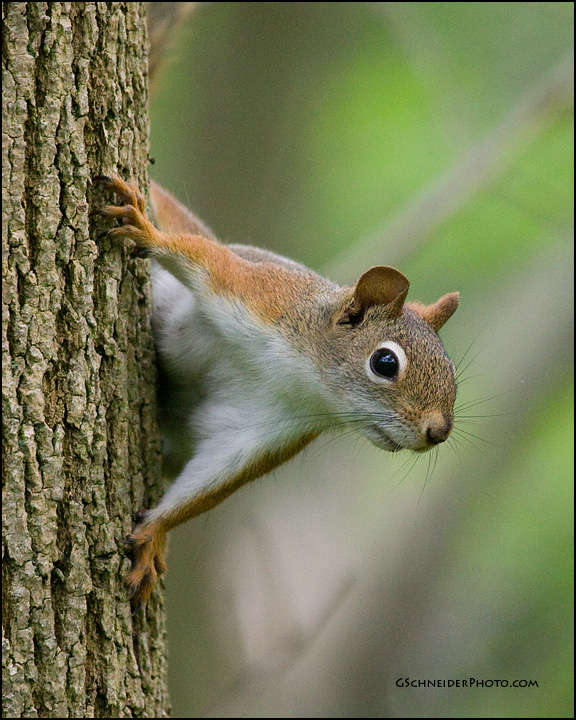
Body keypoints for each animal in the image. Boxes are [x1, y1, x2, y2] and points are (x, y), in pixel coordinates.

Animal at [94, 174, 459, 605]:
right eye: (385, 363)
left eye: (452, 370)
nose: (437, 432)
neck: (299, 376)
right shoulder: (258, 295)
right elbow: (206, 259)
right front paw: (147, 230)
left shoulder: (265, 430)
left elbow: (213, 476)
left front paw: (154, 533)